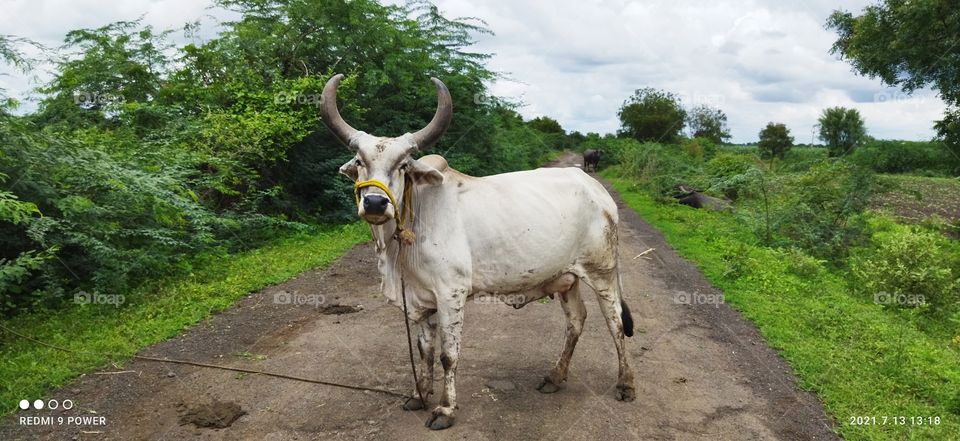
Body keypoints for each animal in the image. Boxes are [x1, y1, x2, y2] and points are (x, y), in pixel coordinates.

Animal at [320, 74, 636, 430]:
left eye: (402, 166)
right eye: (360, 162)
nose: (375, 203)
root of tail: (595, 187)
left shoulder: (451, 292)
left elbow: (448, 355)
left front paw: (444, 410)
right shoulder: (420, 298)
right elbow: (424, 350)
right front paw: (419, 395)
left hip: (602, 271)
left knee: (615, 322)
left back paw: (625, 384)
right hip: (568, 277)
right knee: (576, 321)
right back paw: (555, 377)